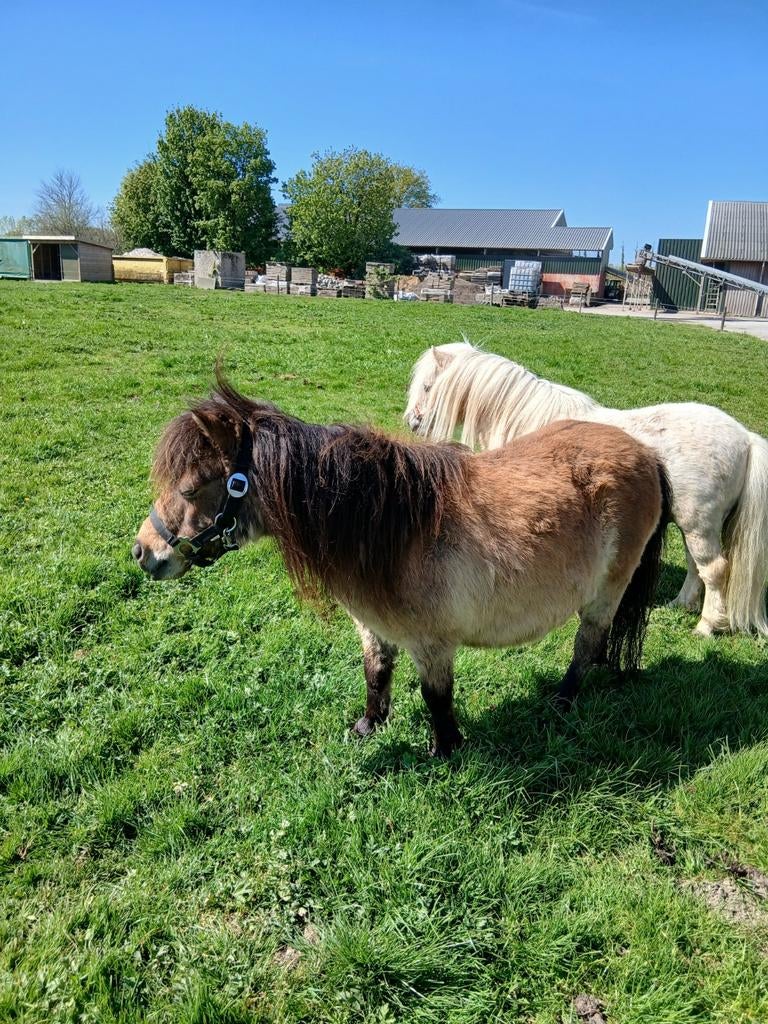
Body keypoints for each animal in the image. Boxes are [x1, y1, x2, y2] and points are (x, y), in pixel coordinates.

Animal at [133, 377, 670, 757]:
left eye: (189, 488)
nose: (142, 552)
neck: (391, 527)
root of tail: (646, 453)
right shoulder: (374, 627)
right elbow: (376, 674)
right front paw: (367, 727)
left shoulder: (433, 644)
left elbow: (437, 698)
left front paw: (446, 750)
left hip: (607, 593)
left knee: (587, 645)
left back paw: (562, 701)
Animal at [405, 340, 768, 638]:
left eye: (427, 386)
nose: (411, 421)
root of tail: (745, 439)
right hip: (695, 526)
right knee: (698, 567)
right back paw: (681, 604)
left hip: (698, 526)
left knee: (715, 570)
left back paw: (706, 627)